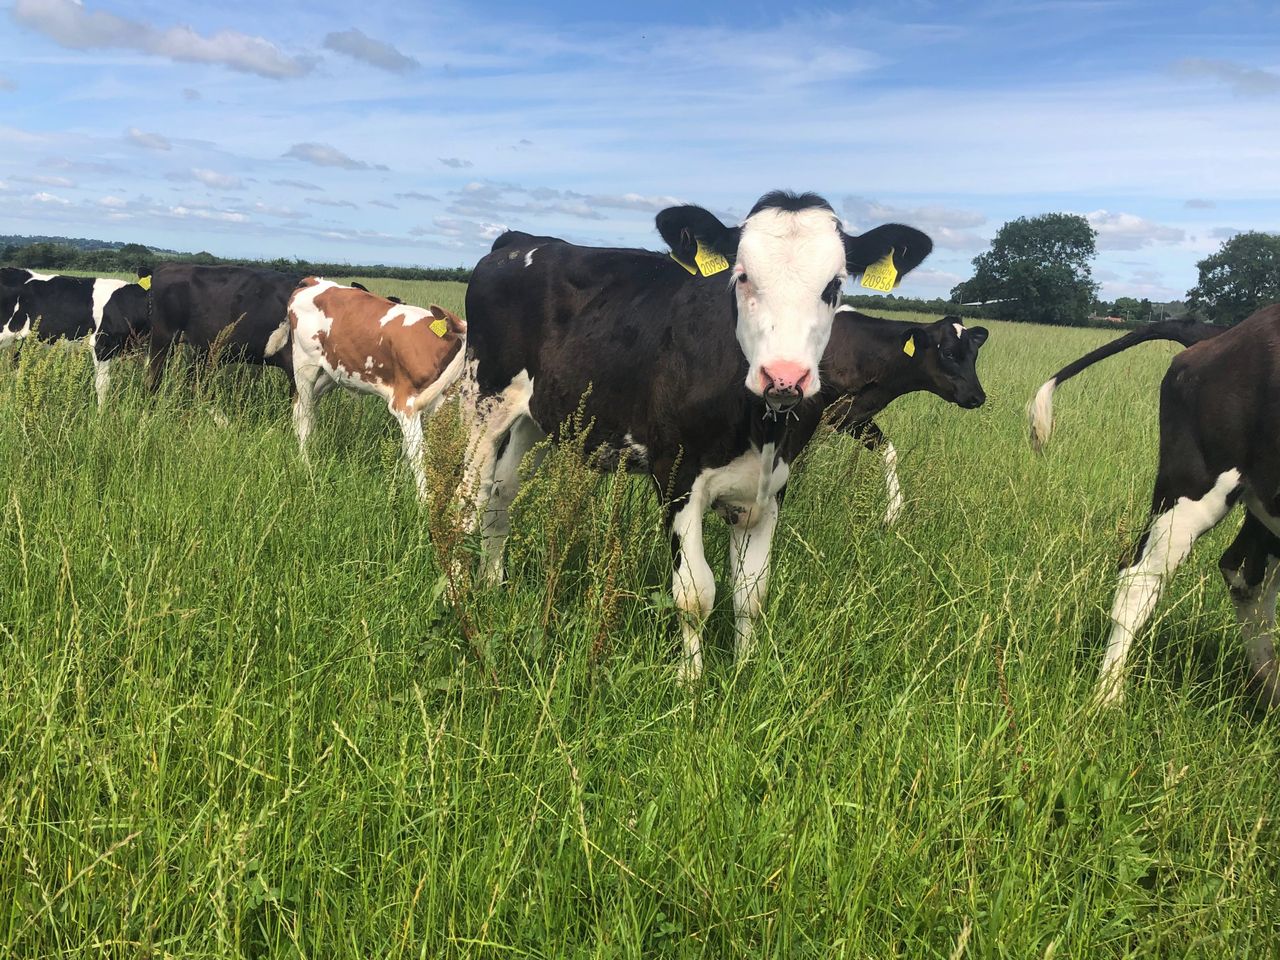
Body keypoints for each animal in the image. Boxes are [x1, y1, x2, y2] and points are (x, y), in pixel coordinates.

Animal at [283, 278, 467, 498]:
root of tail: (314, 280)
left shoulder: (432, 407)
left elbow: (408, 449)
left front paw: (401, 484)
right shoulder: (405, 404)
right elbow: (418, 453)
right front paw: (422, 500)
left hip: (330, 373)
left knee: (300, 406)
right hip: (305, 365)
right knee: (305, 417)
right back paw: (306, 463)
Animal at [462, 192, 933, 681]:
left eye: (834, 285)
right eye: (741, 276)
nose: (784, 376)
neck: (759, 424)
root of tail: (519, 241)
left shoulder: (770, 490)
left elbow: (751, 592)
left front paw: (744, 671)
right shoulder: (676, 477)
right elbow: (694, 592)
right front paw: (691, 682)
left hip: (533, 418)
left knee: (501, 492)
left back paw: (492, 584)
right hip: (482, 398)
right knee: (467, 496)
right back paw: (458, 598)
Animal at [821, 307, 988, 524]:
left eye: (974, 354)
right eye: (948, 353)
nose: (978, 396)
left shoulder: (852, 417)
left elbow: (889, 452)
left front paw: (893, 512)